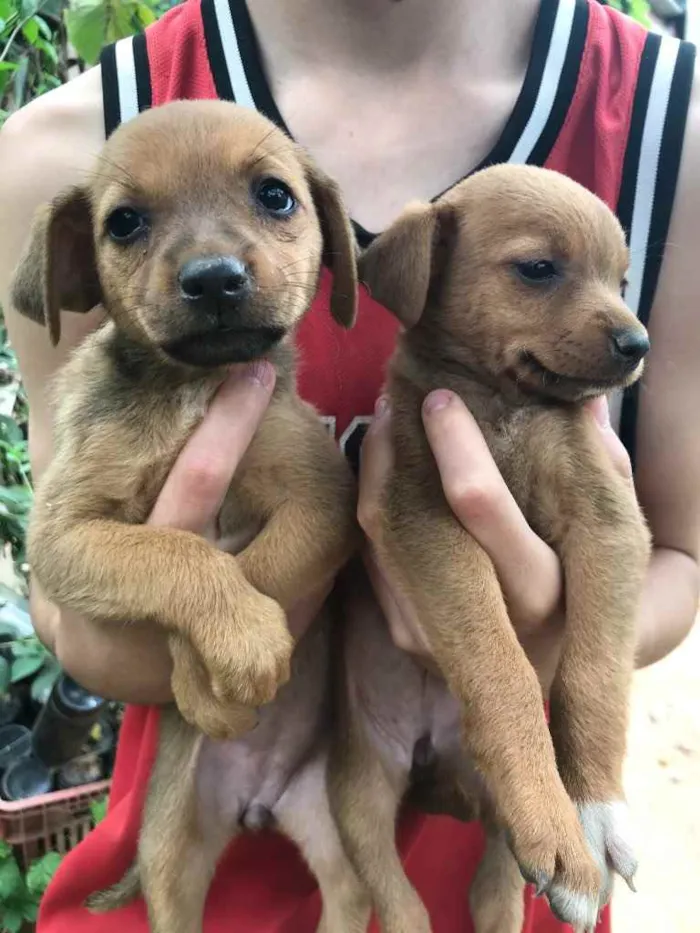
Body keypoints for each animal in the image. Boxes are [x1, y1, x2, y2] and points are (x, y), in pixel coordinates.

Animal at [10, 98, 372, 928]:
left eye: (275, 196)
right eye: (125, 222)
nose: (213, 281)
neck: (190, 389)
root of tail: (258, 804)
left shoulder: (321, 500)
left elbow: (260, 568)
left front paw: (221, 663)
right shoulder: (64, 535)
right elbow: (180, 556)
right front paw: (222, 658)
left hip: (333, 831)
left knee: (353, 896)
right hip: (172, 851)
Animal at [330, 164, 648, 932]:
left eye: (621, 279)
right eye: (538, 269)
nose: (639, 344)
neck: (505, 405)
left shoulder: (610, 521)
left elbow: (595, 675)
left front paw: (596, 809)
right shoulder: (426, 521)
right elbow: (501, 667)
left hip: (490, 841)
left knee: (496, 890)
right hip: (358, 796)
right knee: (395, 893)